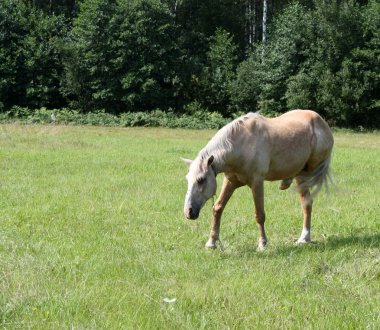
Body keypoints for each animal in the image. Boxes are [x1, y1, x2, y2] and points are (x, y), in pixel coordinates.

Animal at [183, 109, 334, 251]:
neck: (241, 144)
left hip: (304, 175)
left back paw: (304, 238)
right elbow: (218, 208)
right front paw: (211, 243)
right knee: (306, 203)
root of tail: (321, 121)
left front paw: (262, 244)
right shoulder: (230, 181)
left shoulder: (257, 182)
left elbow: (259, 215)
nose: (188, 212)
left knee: (307, 203)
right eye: (187, 180)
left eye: (201, 180)